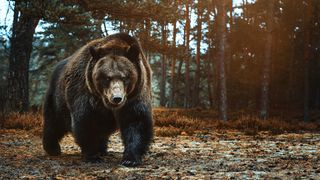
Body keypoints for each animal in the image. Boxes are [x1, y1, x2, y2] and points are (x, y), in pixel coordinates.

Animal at [42, 33, 154, 167]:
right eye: (107, 77)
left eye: (125, 77)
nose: (117, 98)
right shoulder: (85, 92)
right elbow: (86, 121)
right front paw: (92, 155)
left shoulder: (134, 95)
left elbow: (136, 121)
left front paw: (130, 159)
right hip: (58, 97)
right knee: (54, 121)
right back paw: (52, 148)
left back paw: (102, 149)